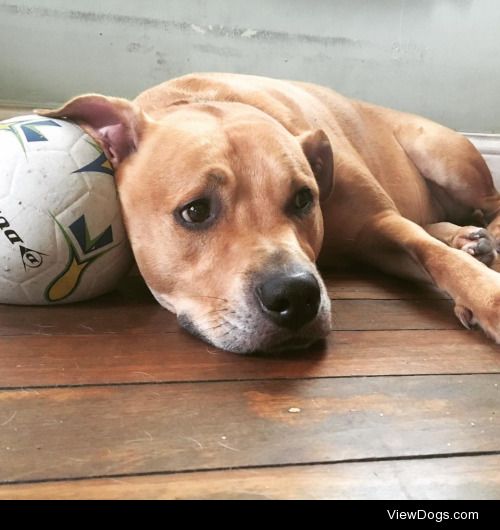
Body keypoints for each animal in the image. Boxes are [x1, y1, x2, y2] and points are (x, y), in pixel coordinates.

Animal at [37, 70, 500, 350]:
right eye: (195, 211)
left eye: (303, 199)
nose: (295, 295)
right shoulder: (376, 247)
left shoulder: (380, 223)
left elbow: (437, 257)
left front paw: (485, 296)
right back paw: (466, 236)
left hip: (442, 153)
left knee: (489, 206)